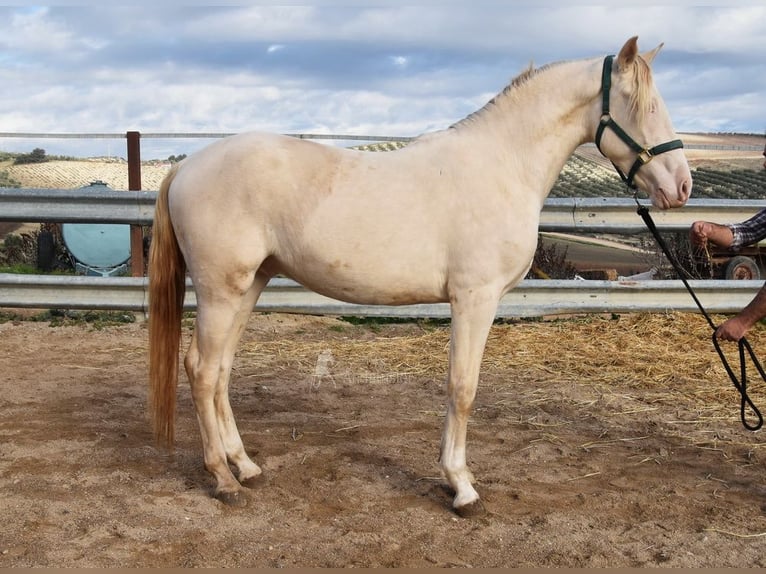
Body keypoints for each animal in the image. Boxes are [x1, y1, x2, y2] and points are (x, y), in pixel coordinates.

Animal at [148, 36, 696, 516]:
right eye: (644, 107)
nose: (682, 187)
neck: (502, 165)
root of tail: (188, 166)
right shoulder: (475, 298)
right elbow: (463, 388)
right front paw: (461, 487)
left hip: (250, 285)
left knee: (220, 371)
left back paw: (245, 465)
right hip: (221, 290)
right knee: (201, 369)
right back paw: (222, 479)